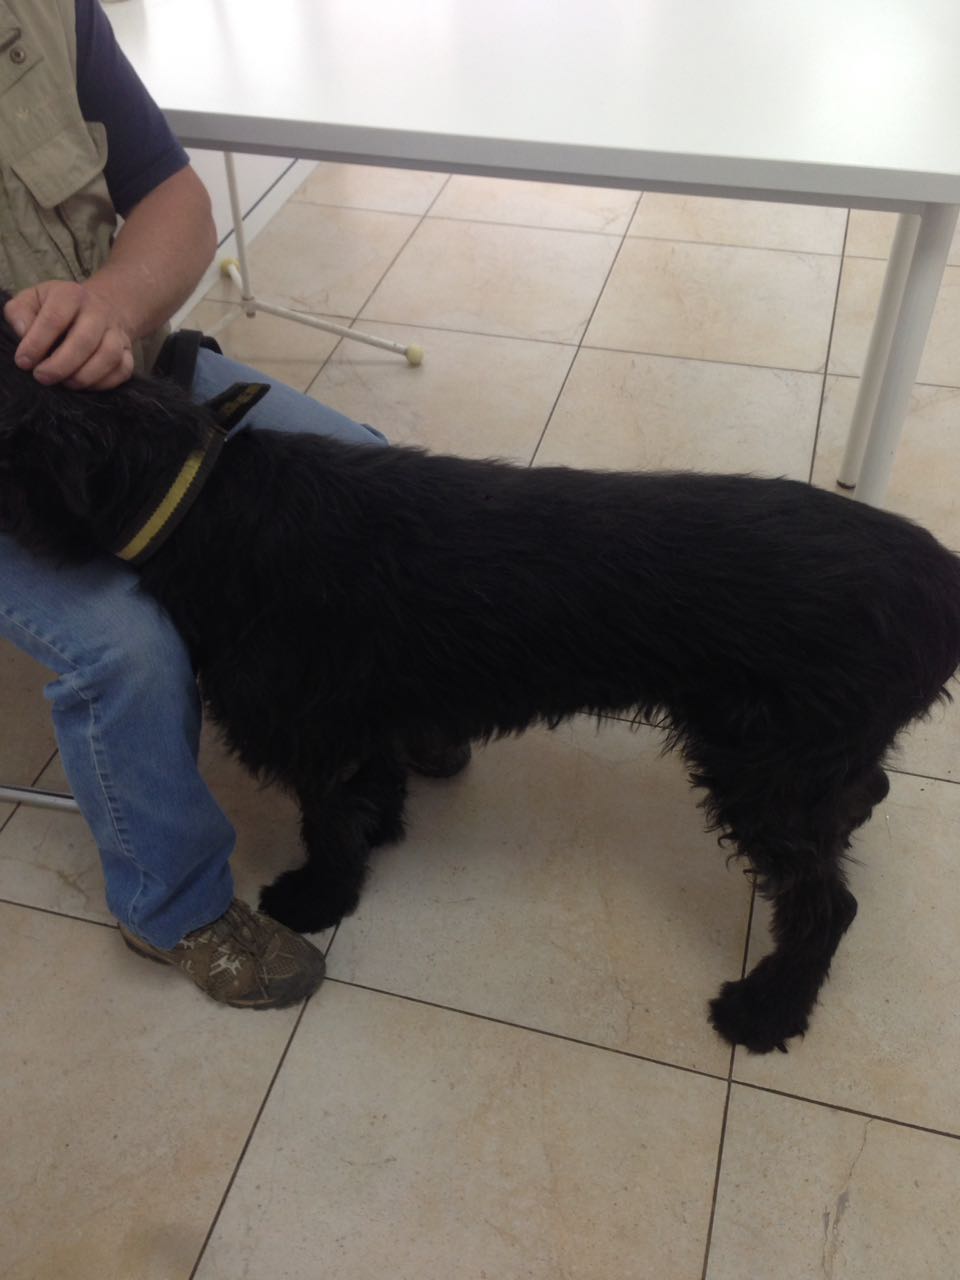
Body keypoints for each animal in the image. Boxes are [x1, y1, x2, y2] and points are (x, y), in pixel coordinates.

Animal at [1, 306, 959, 1054]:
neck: (201, 500)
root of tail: (939, 581)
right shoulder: (357, 723)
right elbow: (368, 790)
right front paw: (385, 828)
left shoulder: (314, 729)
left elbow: (327, 819)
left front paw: (319, 895)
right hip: (800, 766)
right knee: (859, 798)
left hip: (765, 773)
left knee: (828, 905)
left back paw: (767, 1008)